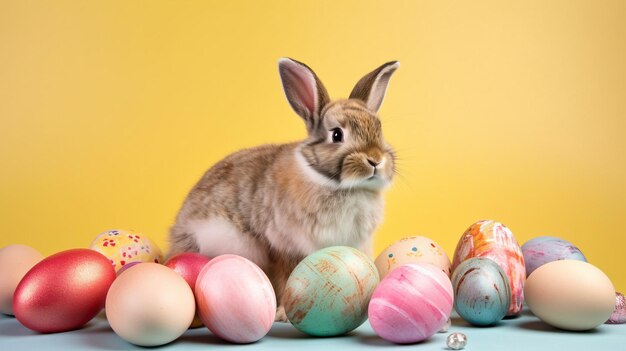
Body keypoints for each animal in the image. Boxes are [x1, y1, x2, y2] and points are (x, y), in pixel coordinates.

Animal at [168, 57, 398, 322]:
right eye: (337, 134)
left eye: (379, 130)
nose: (375, 160)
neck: (339, 186)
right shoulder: (283, 246)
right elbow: (286, 277)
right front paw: (284, 314)